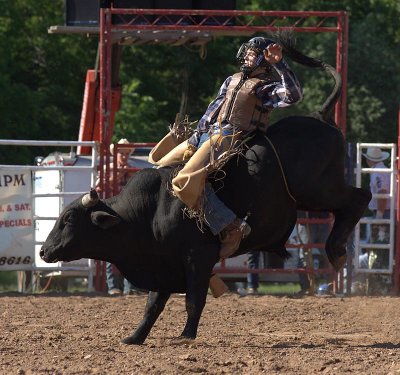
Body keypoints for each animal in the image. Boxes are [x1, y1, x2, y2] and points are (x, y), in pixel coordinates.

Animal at [41, 119, 372, 346]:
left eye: (68, 218)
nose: (44, 250)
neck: (150, 211)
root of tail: (327, 126)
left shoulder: (197, 258)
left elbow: (194, 298)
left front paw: (186, 335)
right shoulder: (164, 264)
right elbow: (152, 306)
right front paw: (134, 337)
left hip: (317, 190)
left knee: (360, 197)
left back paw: (336, 249)